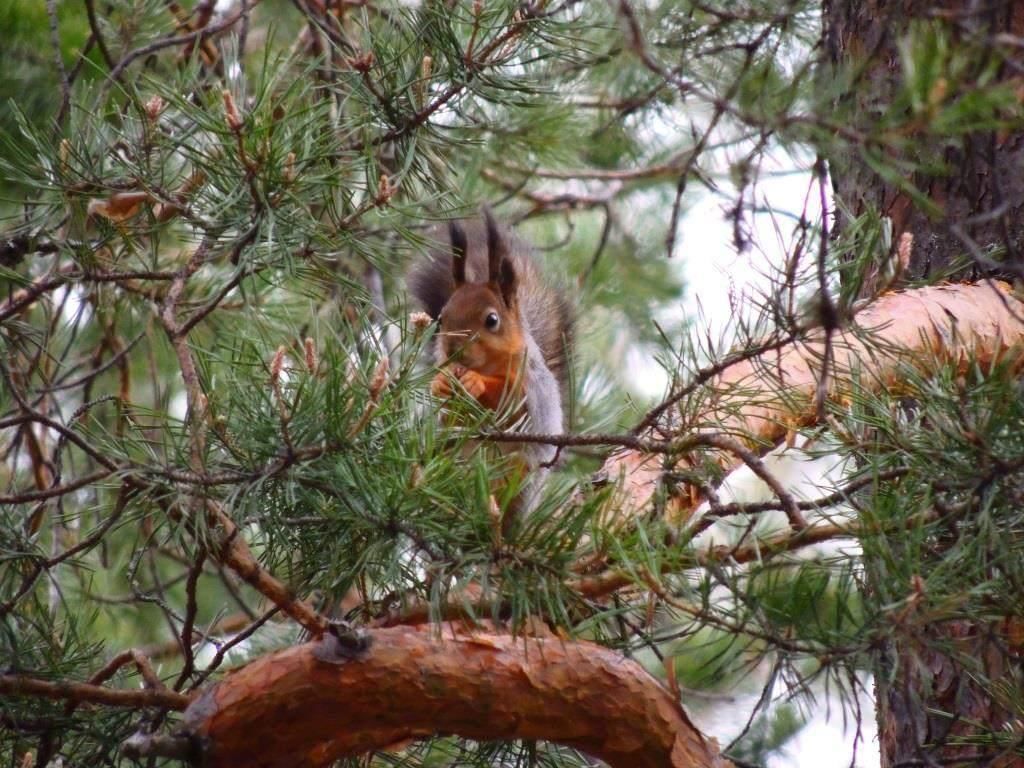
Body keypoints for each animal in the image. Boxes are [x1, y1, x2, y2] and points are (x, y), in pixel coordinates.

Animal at [407, 205, 573, 493]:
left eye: (492, 320)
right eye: (442, 318)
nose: (452, 349)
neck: (487, 364)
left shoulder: (529, 388)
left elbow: (511, 398)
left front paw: (476, 382)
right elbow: (449, 410)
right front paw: (441, 383)